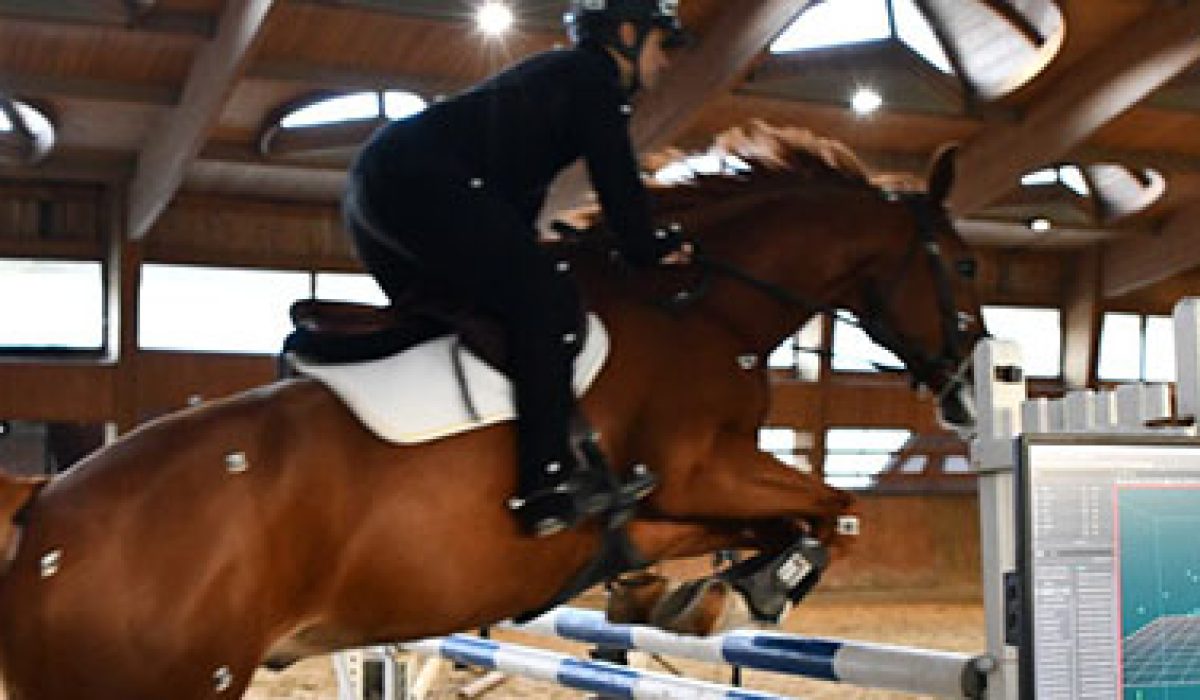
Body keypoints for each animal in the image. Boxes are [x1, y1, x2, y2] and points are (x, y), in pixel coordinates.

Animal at [0, 121, 985, 700]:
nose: (972, 383)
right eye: (969, 265)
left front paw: (677, 599)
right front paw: (760, 583)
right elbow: (835, 508)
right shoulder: (701, 468)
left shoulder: (666, 504)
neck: (699, 305)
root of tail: (40, 510)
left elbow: (779, 520)